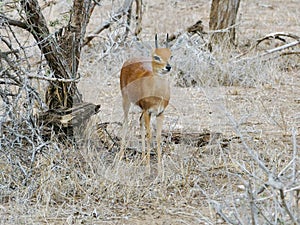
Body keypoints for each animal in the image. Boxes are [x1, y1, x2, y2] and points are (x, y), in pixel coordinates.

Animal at [119, 34, 171, 174]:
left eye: (170, 55)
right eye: (156, 56)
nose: (168, 67)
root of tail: (128, 60)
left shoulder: (160, 113)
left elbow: (158, 137)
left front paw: (160, 170)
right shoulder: (148, 111)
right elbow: (149, 135)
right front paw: (148, 169)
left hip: (142, 110)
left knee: (139, 120)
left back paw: (142, 157)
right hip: (126, 100)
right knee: (125, 123)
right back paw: (120, 157)